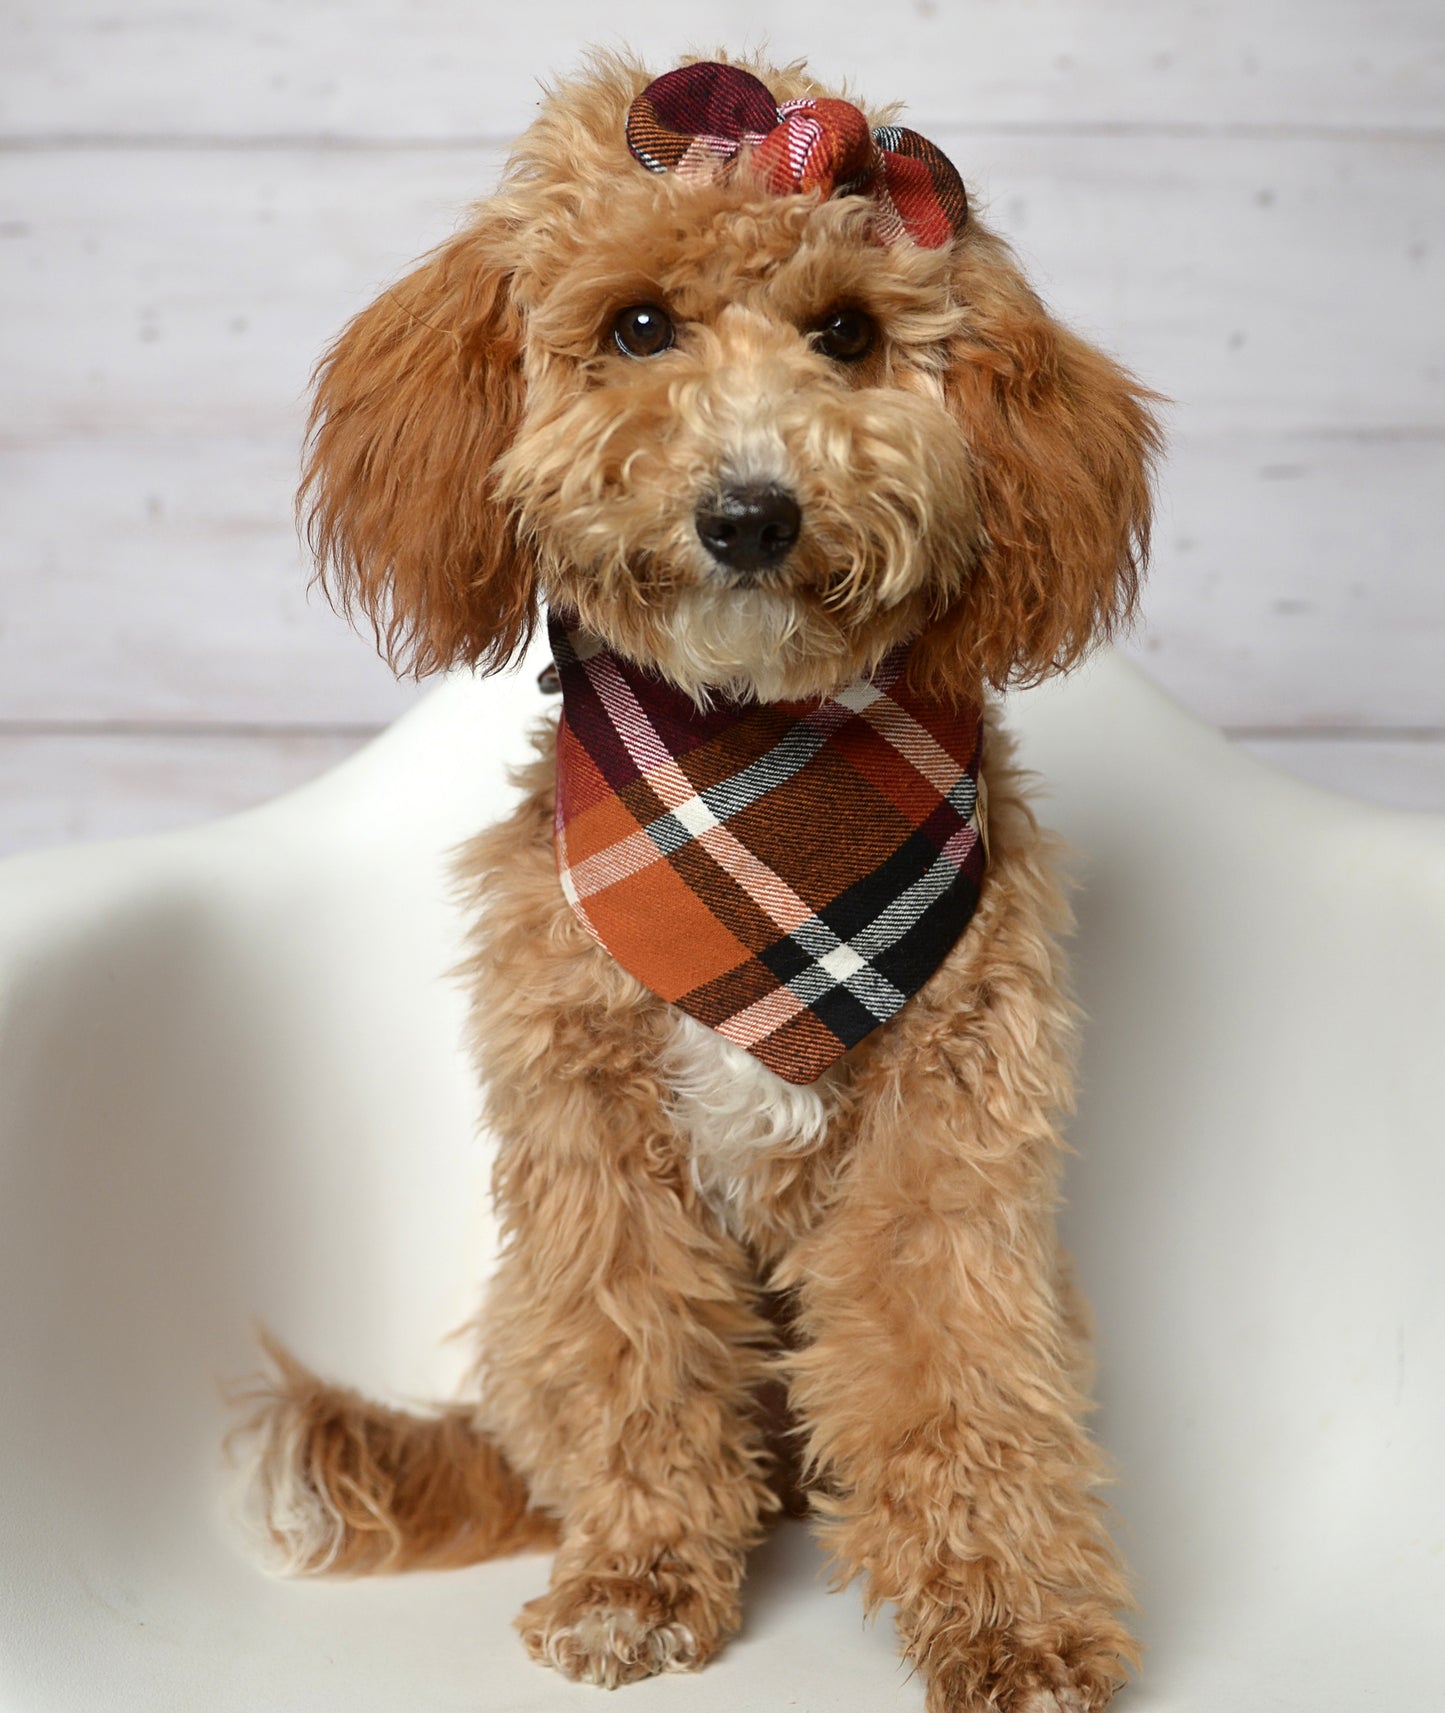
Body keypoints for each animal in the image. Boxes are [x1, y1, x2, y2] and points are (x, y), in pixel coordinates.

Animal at [239, 53, 1164, 1713]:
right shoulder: (597, 1148)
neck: (751, 781)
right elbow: (637, 1362)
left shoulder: (949, 1149)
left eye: (847, 333)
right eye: (637, 326)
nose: (749, 513)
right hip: (526, 1314)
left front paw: (1015, 1618)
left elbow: (962, 1377)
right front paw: (636, 1581)